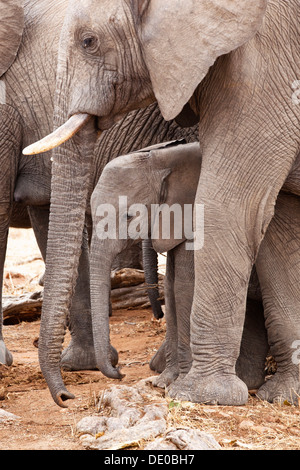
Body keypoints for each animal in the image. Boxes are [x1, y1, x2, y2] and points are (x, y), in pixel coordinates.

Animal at [26, 0, 300, 408]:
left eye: (89, 42)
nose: (66, 398)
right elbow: (281, 229)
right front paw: (283, 396)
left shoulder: (263, 68)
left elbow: (229, 207)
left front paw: (200, 395)